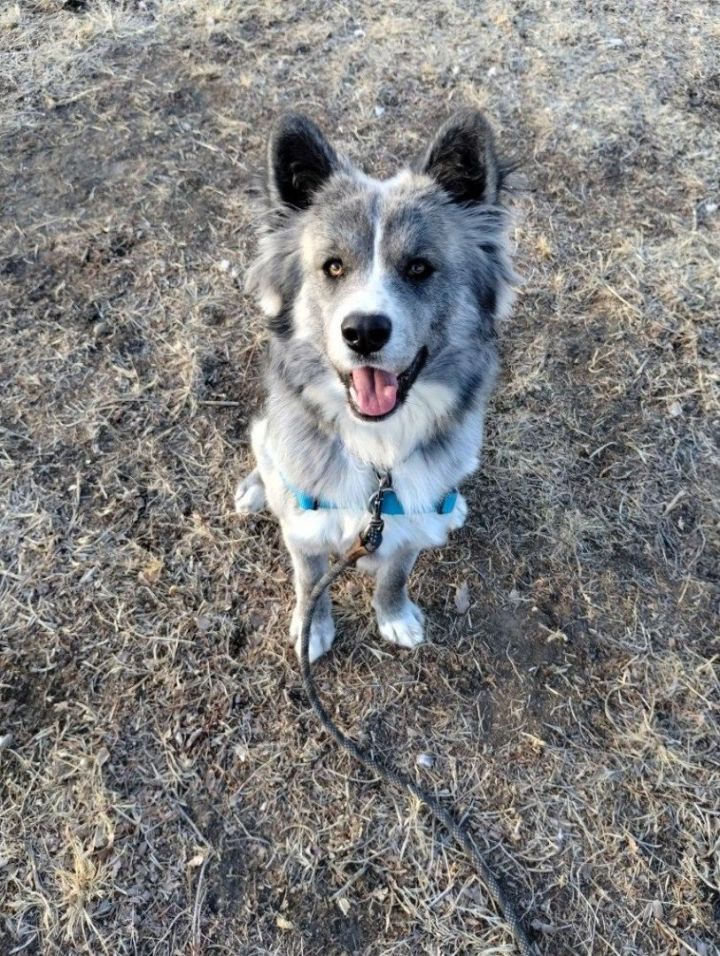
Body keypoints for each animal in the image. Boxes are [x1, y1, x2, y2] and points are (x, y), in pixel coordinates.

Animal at [238, 110, 516, 664]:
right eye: (333, 266)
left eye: (419, 268)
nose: (364, 331)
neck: (378, 452)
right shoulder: (305, 534)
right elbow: (310, 584)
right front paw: (312, 630)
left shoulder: (405, 529)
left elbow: (395, 575)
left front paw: (394, 617)